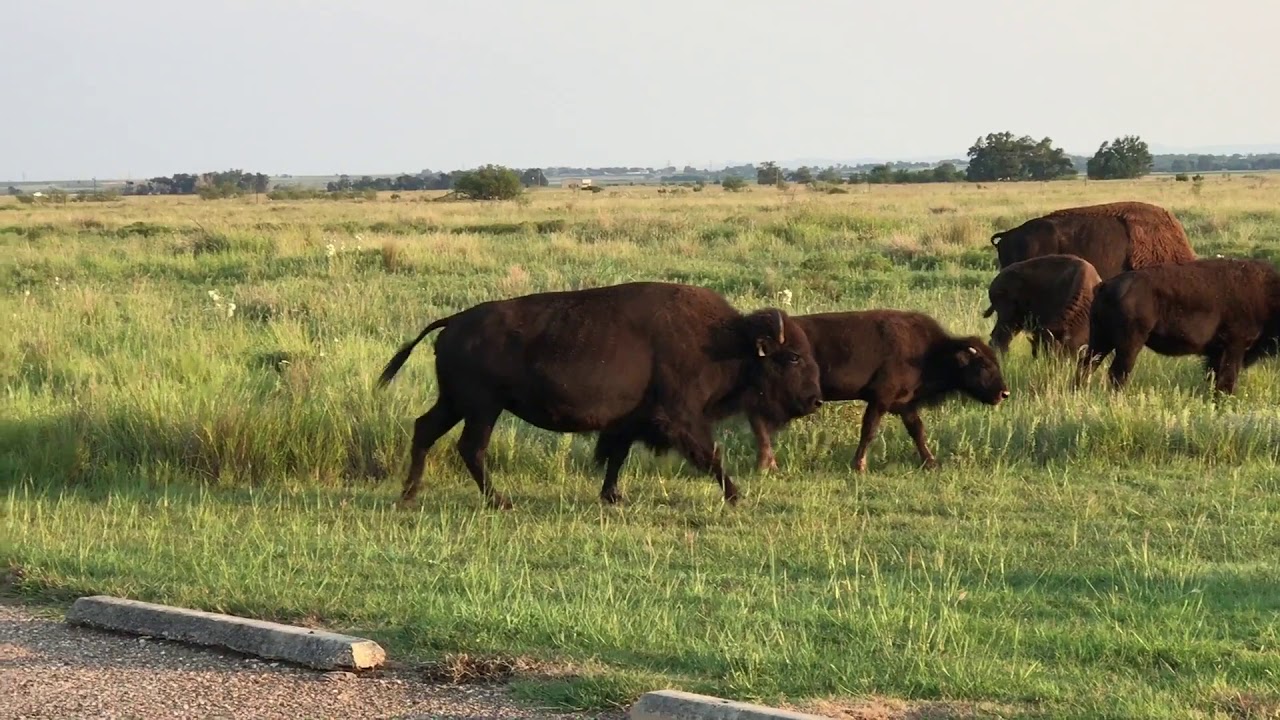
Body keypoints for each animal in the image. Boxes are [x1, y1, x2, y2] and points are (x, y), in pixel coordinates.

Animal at [377, 281, 824, 508]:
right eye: (793, 357)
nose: (815, 400)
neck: (726, 339)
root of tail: (452, 322)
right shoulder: (681, 418)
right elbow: (711, 454)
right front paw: (736, 495)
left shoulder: (629, 421)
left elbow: (616, 457)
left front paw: (613, 496)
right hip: (482, 408)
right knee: (470, 448)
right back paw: (499, 501)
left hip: (457, 403)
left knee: (425, 430)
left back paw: (409, 494)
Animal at [748, 310, 1009, 473]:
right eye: (983, 365)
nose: (1004, 394)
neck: (929, 351)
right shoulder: (881, 399)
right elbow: (869, 430)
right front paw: (859, 466)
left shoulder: (904, 404)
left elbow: (917, 431)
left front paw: (931, 463)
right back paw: (766, 465)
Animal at [1078, 258, 1280, 394]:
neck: (1268, 294)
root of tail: (1105, 285)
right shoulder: (1234, 346)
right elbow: (1227, 378)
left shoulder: (1217, 353)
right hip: (1129, 344)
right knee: (1117, 372)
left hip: (1101, 340)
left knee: (1087, 365)